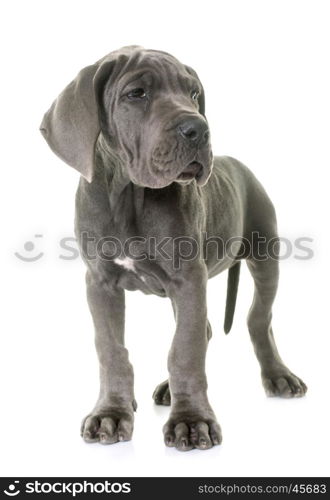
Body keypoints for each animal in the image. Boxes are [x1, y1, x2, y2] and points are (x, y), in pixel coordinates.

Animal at [40, 47, 306, 454]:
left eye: (193, 93)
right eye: (136, 93)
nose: (199, 128)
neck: (129, 195)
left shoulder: (188, 279)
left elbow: (185, 349)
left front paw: (192, 421)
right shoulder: (100, 282)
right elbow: (111, 349)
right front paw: (111, 412)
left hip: (265, 255)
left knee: (257, 319)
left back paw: (278, 376)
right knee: (207, 328)